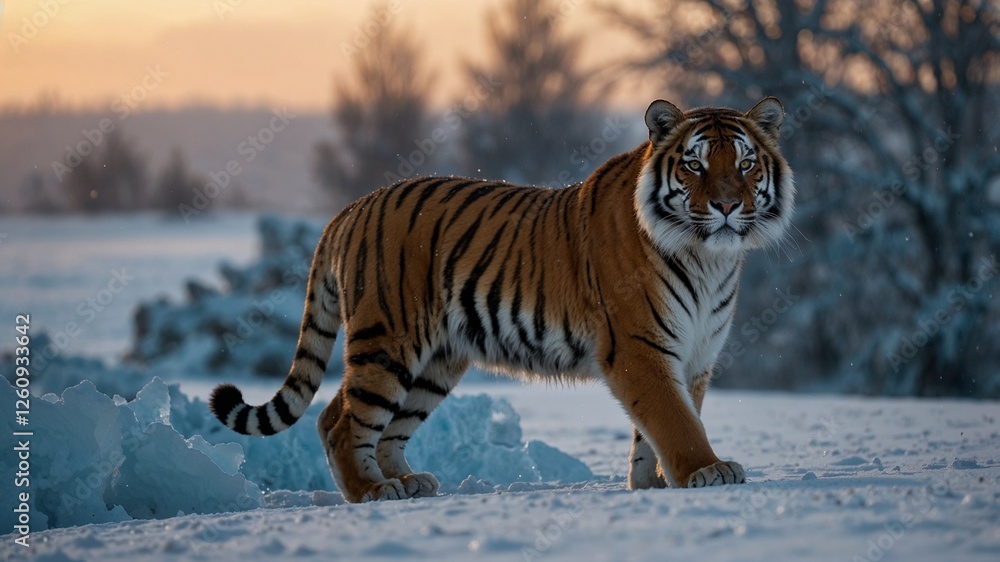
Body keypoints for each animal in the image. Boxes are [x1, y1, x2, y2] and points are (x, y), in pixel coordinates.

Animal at [209, 97, 794, 502]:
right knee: (341, 420)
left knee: (371, 422)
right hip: (389, 341)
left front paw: (651, 484)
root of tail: (350, 208)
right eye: (695, 165)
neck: (709, 258)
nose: (726, 206)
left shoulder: (695, 354)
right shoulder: (640, 348)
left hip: (435, 362)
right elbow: (675, 420)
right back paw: (371, 491)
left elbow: (660, 424)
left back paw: (408, 482)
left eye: (745, 164)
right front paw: (705, 471)